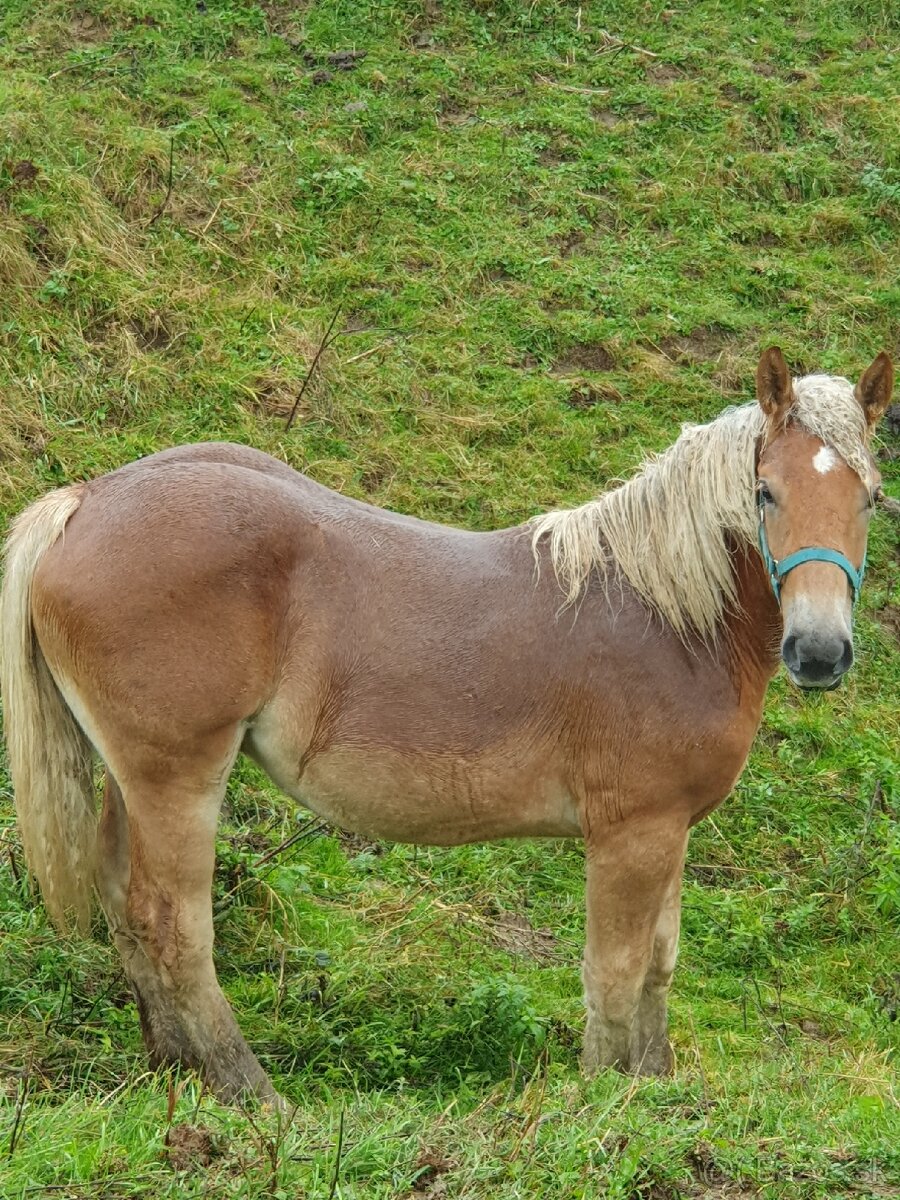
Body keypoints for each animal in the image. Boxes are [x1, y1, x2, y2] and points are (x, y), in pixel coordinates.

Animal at [0, 345, 892, 1099]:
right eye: (766, 491)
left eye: (871, 497)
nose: (818, 651)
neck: (663, 614)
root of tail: (89, 499)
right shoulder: (630, 833)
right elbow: (614, 973)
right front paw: (605, 1099)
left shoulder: (669, 832)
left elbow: (659, 968)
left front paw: (654, 1090)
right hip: (179, 779)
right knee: (173, 924)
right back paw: (250, 1091)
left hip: (133, 782)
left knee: (125, 904)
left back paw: (174, 1069)